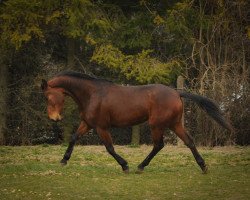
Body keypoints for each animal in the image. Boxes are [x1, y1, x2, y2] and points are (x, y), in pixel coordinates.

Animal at [41, 70, 232, 173]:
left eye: (48, 97)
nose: (54, 118)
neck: (93, 94)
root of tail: (177, 92)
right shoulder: (88, 124)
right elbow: (73, 138)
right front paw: (63, 160)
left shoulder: (101, 127)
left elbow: (110, 148)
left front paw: (125, 166)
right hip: (175, 124)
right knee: (189, 141)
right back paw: (203, 166)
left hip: (156, 125)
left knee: (159, 145)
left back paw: (140, 166)